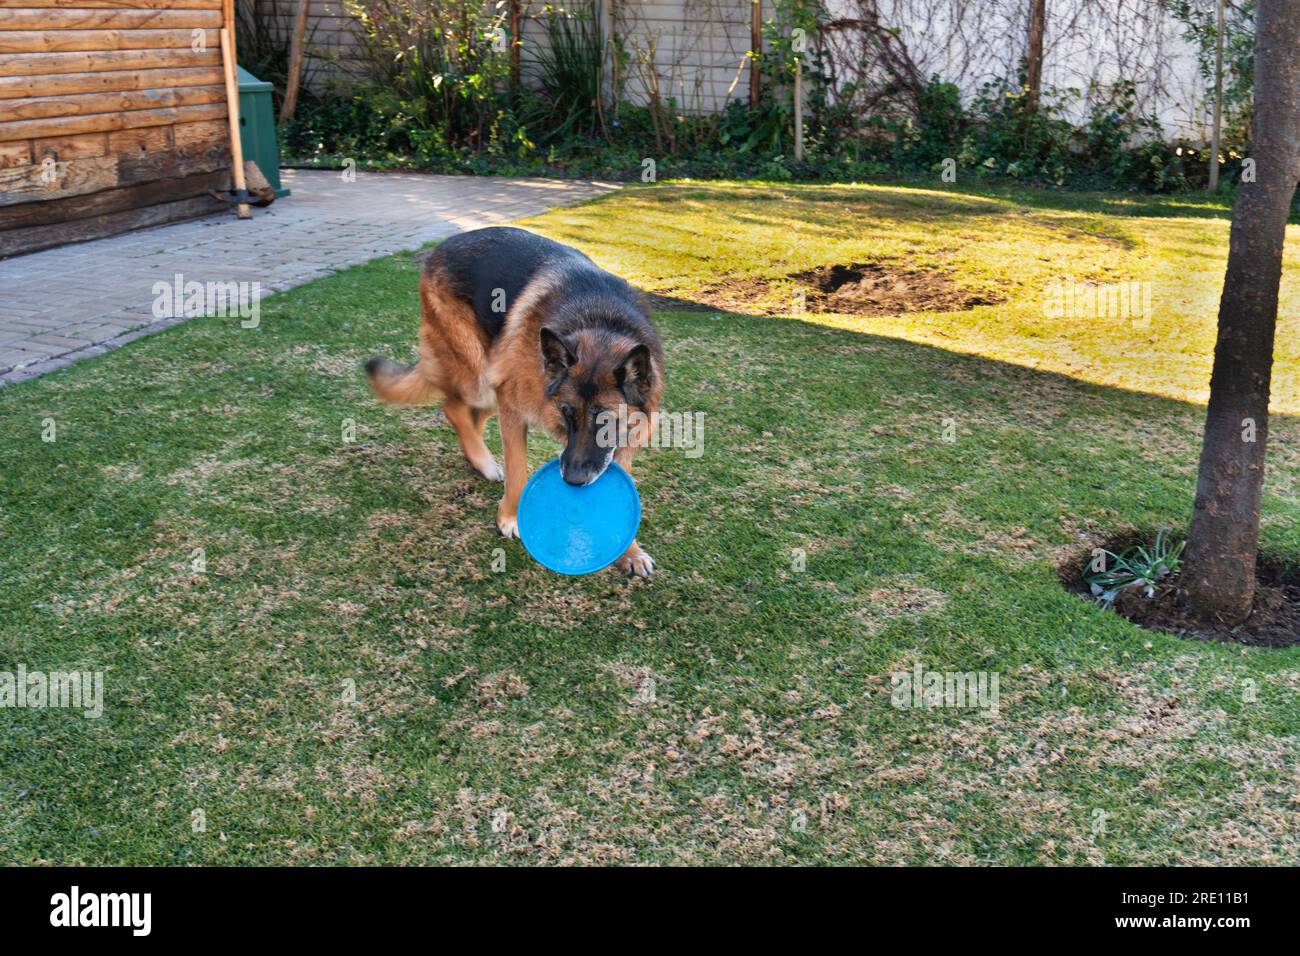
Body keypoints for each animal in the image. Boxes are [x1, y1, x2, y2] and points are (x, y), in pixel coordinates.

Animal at [371, 227, 665, 580]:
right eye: (567, 413)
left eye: (606, 422)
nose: (572, 481)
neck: (600, 321)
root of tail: (443, 245)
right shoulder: (513, 407)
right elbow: (516, 470)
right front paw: (510, 516)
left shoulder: (629, 436)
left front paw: (630, 551)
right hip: (480, 374)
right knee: (454, 408)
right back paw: (483, 461)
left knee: (472, 416)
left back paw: (478, 459)